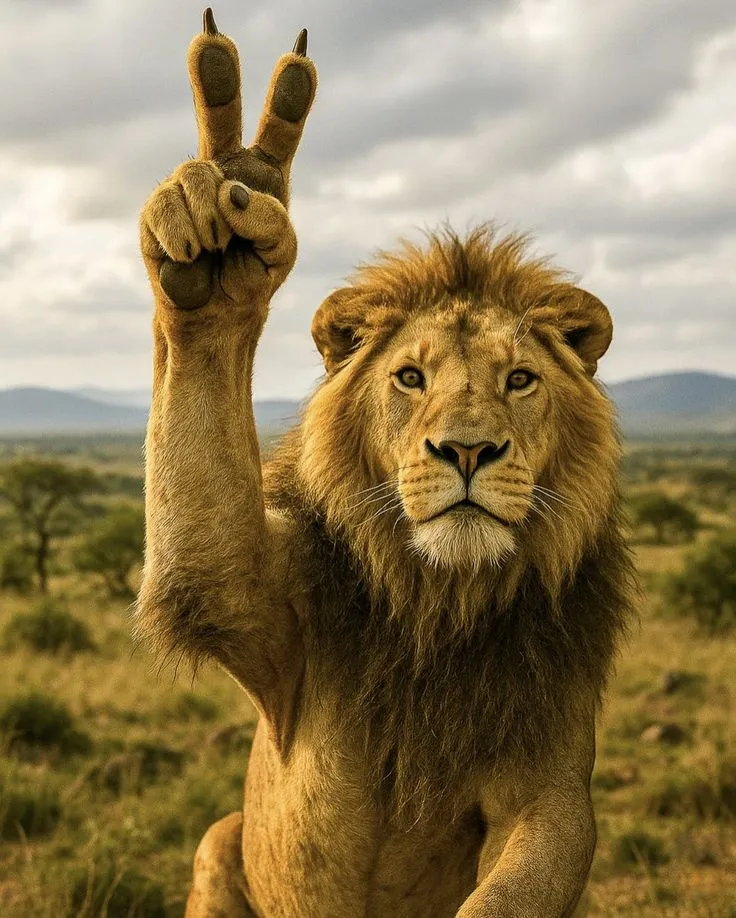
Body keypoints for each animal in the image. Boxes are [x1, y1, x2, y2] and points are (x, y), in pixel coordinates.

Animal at [136, 9, 637, 918]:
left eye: (519, 380)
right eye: (411, 378)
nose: (468, 448)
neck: (442, 602)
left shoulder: (550, 785)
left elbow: (519, 877)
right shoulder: (252, 602)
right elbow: (205, 556)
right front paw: (224, 232)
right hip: (219, 839)